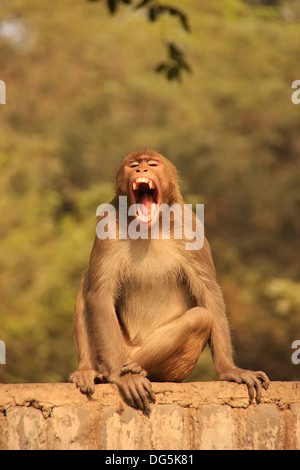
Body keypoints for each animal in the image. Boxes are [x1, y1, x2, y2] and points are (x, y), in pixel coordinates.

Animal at [70, 150, 270, 412]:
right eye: (134, 165)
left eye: (152, 165)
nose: (141, 171)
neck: (149, 227)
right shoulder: (109, 224)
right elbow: (99, 293)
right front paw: (123, 378)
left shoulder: (190, 226)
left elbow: (208, 291)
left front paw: (229, 370)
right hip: (118, 344)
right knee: (88, 285)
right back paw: (92, 370)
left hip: (172, 368)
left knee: (201, 317)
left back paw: (138, 368)